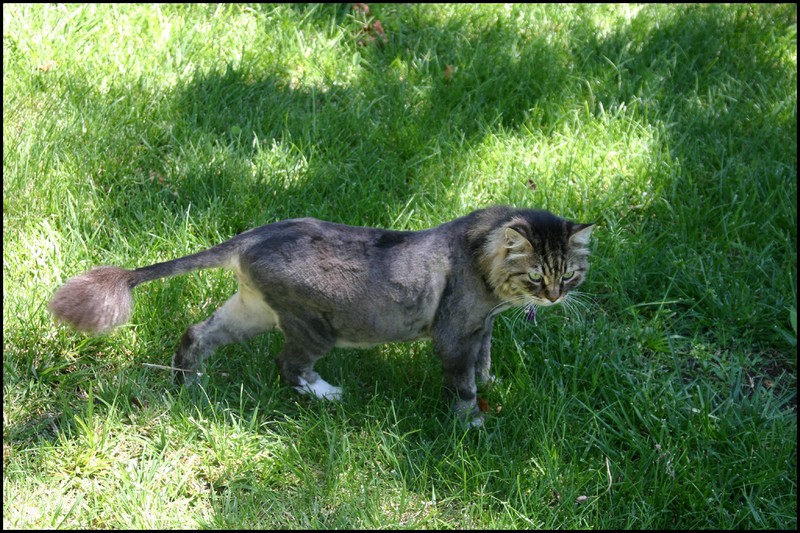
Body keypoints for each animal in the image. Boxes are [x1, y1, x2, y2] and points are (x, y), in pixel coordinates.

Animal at [47, 206, 592, 426]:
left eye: (569, 275)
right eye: (537, 276)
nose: (553, 298)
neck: (480, 257)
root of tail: (254, 235)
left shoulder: (482, 327)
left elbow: (484, 363)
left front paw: (492, 385)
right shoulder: (456, 333)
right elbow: (462, 385)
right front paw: (472, 423)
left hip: (251, 311)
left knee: (196, 332)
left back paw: (190, 385)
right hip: (313, 327)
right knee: (287, 366)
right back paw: (327, 394)